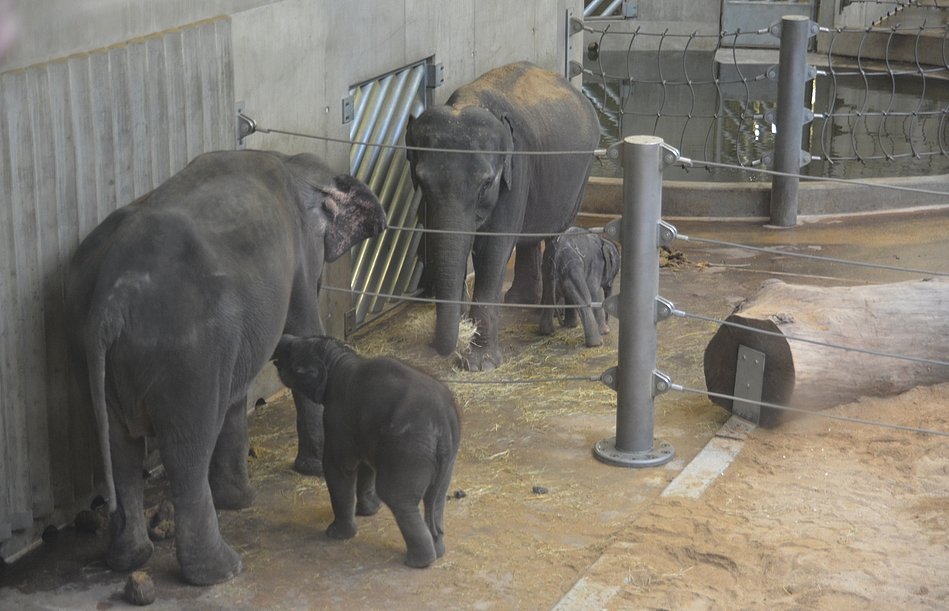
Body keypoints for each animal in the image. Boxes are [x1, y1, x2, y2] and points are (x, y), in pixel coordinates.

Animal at [64, 148, 386, 584]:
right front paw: (312, 469)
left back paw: (130, 559)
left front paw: (240, 501)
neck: (292, 164)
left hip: (95, 354)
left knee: (121, 451)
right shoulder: (300, 257)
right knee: (186, 452)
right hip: (186, 357)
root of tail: (109, 302)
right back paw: (221, 571)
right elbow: (303, 326)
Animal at [272, 334, 462, 568]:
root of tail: (444, 424)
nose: (283, 339)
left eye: (291, 351)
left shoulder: (337, 418)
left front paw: (336, 534)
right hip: (448, 457)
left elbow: (338, 468)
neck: (338, 360)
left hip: (409, 451)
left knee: (399, 499)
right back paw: (439, 551)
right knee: (436, 498)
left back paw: (418, 562)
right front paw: (369, 511)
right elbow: (365, 466)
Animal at [402, 62, 596, 370]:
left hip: (580, 178)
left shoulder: (517, 170)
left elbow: (493, 250)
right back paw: (520, 301)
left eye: (486, 183)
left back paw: (554, 318)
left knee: (554, 236)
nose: (440, 348)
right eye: (421, 181)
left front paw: (480, 364)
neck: (469, 101)